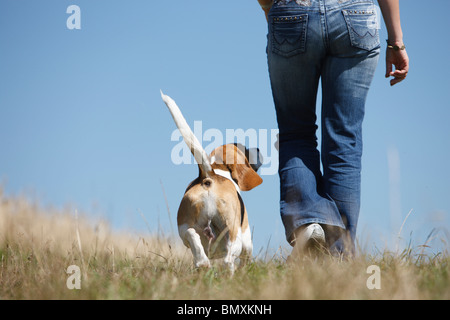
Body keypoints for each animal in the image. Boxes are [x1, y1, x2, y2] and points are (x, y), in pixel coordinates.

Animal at [161, 91, 260, 274]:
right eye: (245, 149)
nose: (258, 149)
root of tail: (208, 178)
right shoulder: (247, 239)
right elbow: (247, 259)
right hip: (234, 234)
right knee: (228, 259)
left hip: (184, 227)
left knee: (192, 236)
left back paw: (202, 262)